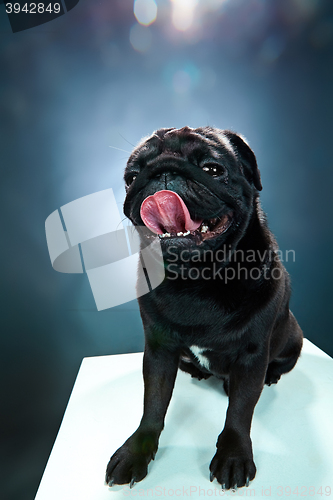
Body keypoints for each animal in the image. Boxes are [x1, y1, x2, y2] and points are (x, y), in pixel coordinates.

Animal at [105, 127, 302, 490]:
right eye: (132, 177)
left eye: (213, 169)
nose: (163, 171)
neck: (198, 278)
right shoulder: (158, 350)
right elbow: (153, 404)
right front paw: (136, 451)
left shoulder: (252, 355)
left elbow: (239, 411)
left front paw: (234, 455)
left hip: (293, 337)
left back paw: (268, 377)